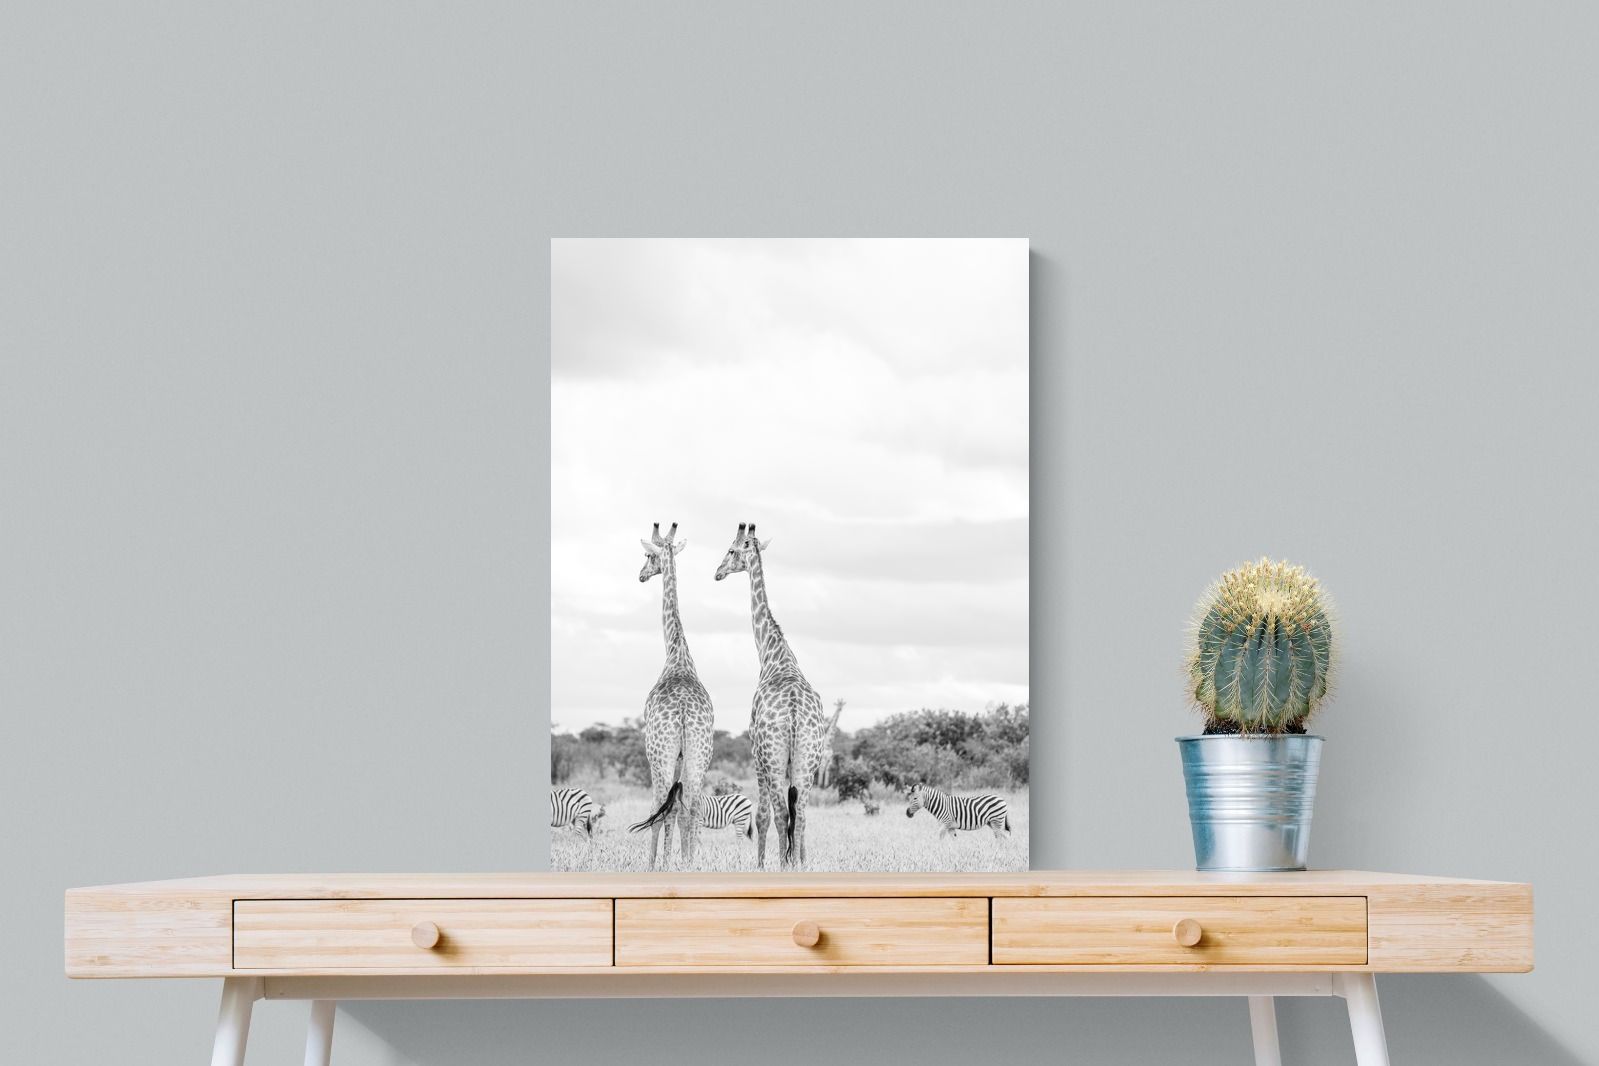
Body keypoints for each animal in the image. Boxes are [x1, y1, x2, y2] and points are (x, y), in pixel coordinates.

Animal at [715, 522, 825, 870]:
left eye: (731, 550)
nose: (717, 572)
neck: (773, 654)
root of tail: (792, 714)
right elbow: (796, 817)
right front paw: (799, 859)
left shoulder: (755, 753)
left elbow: (762, 816)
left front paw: (762, 863)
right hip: (808, 761)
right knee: (800, 816)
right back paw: (797, 864)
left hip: (774, 761)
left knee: (779, 815)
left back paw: (781, 864)